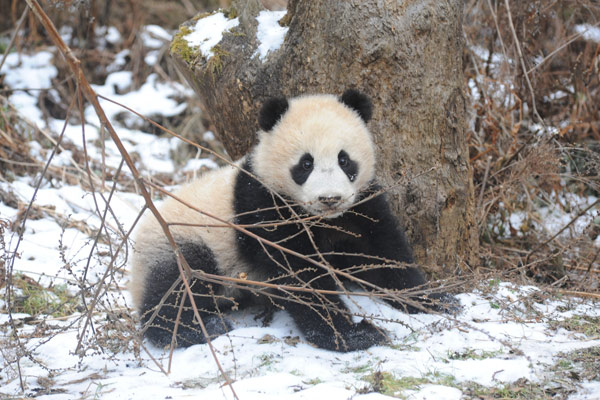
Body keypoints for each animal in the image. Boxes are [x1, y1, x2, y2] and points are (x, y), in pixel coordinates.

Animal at [130, 89, 450, 352]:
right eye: (305, 163)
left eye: (344, 160)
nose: (330, 198)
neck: (321, 219)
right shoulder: (264, 208)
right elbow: (299, 276)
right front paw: (353, 334)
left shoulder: (360, 204)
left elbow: (383, 253)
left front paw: (433, 301)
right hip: (182, 239)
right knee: (178, 284)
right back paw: (194, 329)